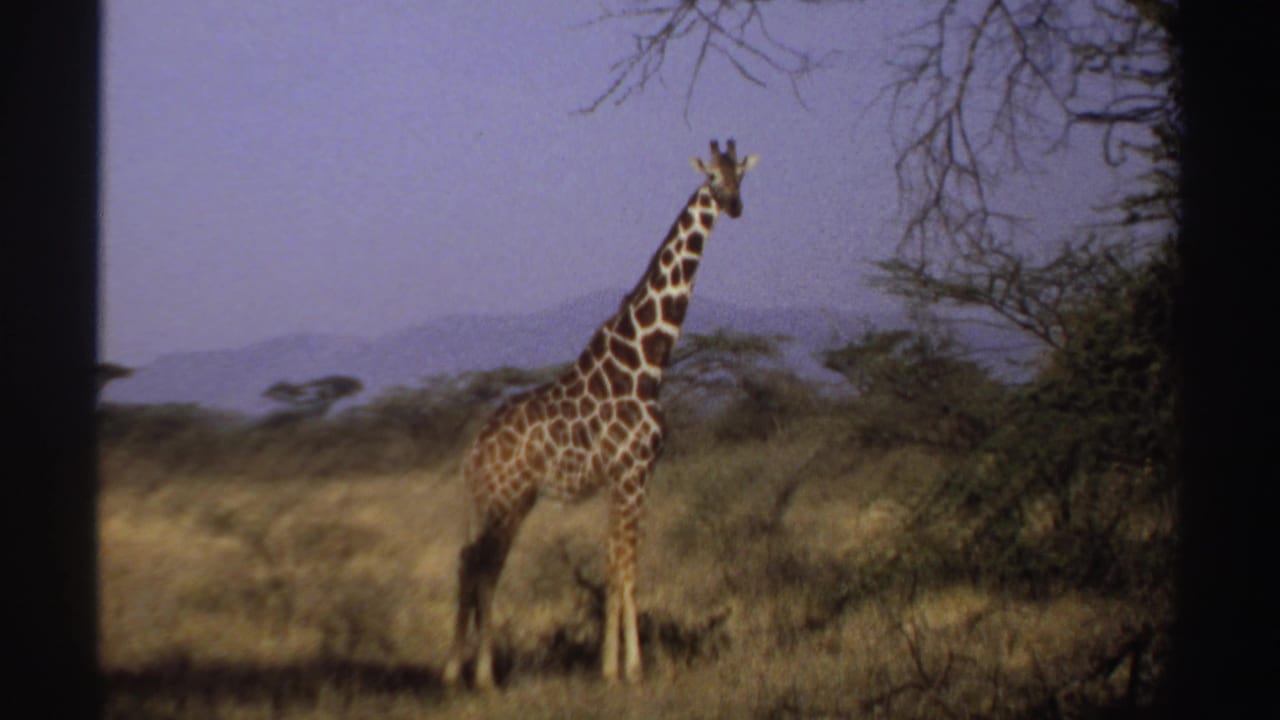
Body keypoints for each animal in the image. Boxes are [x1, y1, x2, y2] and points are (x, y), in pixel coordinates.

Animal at [442, 139, 759, 688]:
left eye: (739, 174)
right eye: (712, 178)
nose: (734, 205)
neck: (646, 362)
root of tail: (474, 453)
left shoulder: (623, 477)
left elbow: (614, 566)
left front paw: (608, 666)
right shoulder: (634, 471)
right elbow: (628, 569)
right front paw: (632, 667)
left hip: (499, 503)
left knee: (472, 565)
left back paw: (457, 671)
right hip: (506, 500)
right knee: (483, 570)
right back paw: (481, 675)